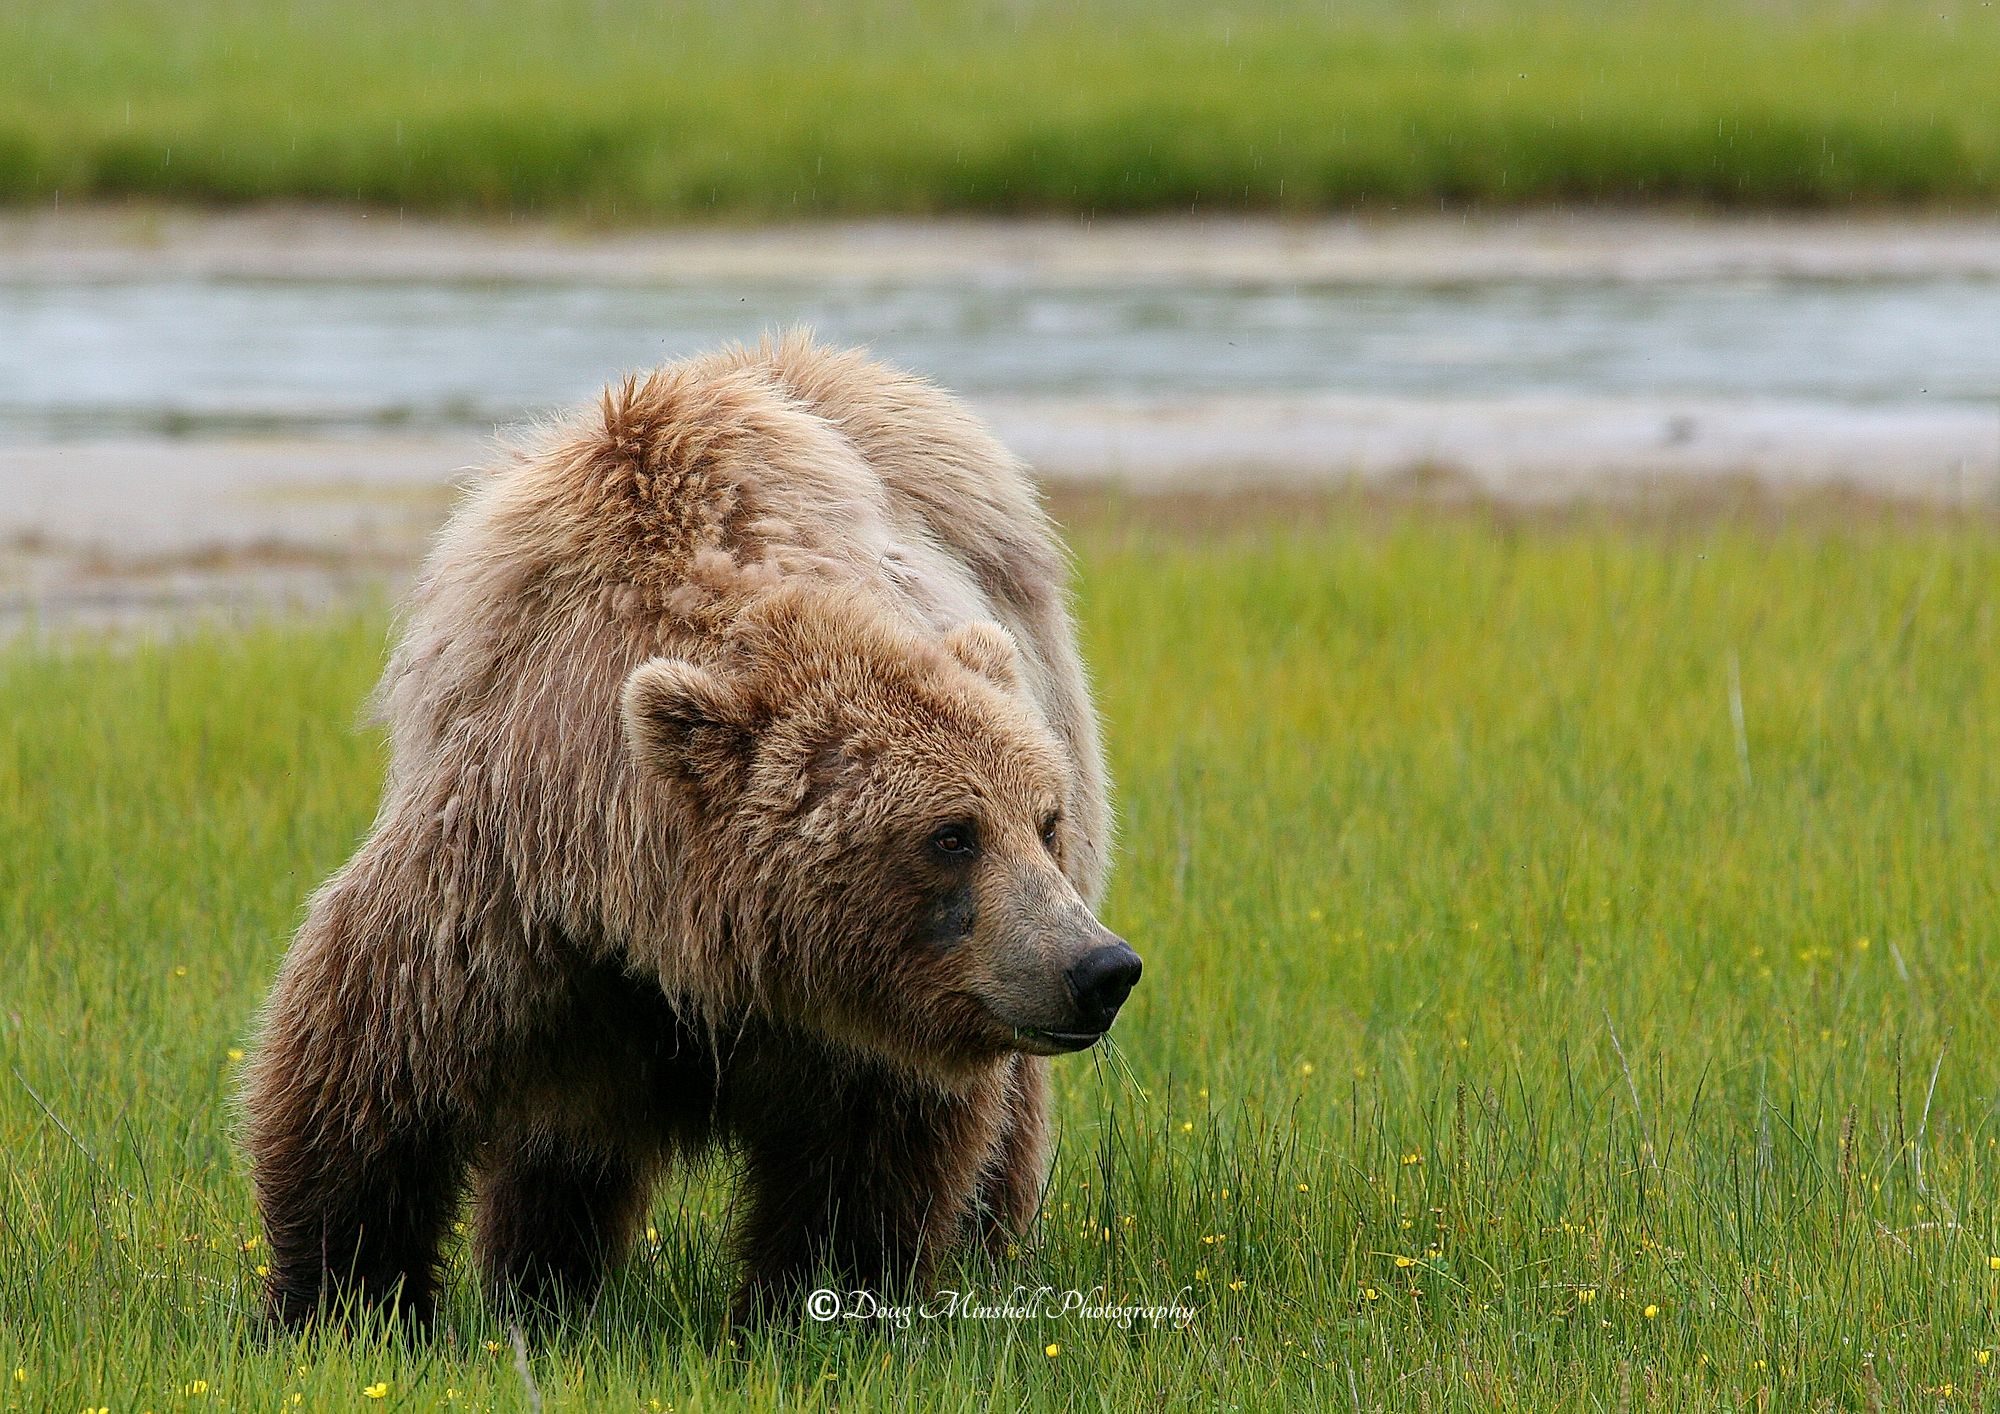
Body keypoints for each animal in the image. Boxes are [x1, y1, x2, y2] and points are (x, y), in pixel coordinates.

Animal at [241, 332, 1140, 1328]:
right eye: (952, 834)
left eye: (1044, 821)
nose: (1100, 968)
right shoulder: (508, 892)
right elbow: (366, 1066)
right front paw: (340, 1304)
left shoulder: (867, 1011)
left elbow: (865, 1160)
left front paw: (809, 1307)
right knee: (561, 1153)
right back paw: (542, 1288)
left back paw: (987, 1252)